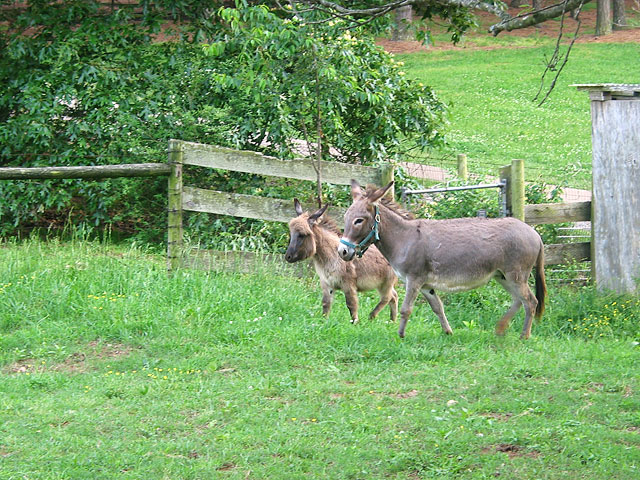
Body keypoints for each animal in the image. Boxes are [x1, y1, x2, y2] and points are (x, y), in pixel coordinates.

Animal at [337, 180, 547, 339]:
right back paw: (501, 329)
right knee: (519, 300)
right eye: (346, 217)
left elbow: (406, 309)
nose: (342, 251)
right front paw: (448, 332)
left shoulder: (414, 279)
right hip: (502, 276)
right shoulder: (426, 285)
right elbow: (438, 307)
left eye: (359, 220)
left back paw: (524, 336)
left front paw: (400, 336)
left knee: (530, 301)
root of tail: (535, 234)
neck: (404, 238)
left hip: (515, 275)